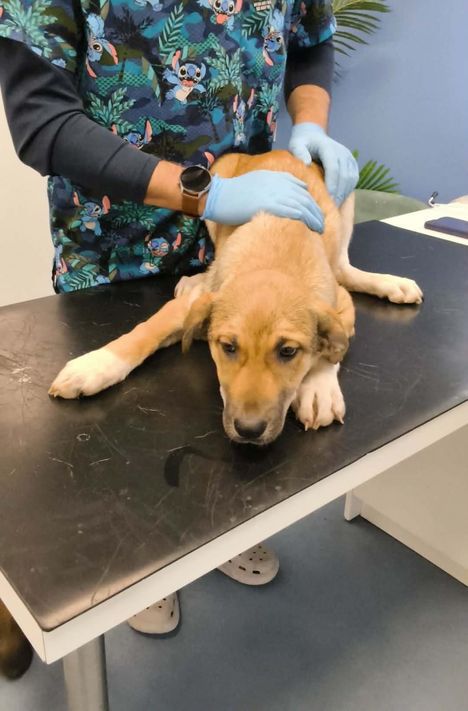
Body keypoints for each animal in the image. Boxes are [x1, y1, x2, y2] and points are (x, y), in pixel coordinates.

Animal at [49, 150, 423, 445]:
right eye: (228, 348)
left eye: (288, 352)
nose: (249, 430)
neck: (275, 258)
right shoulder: (190, 307)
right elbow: (144, 332)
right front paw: (94, 365)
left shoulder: (339, 303)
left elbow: (331, 347)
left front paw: (318, 388)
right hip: (219, 182)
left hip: (345, 198)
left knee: (344, 267)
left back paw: (390, 283)